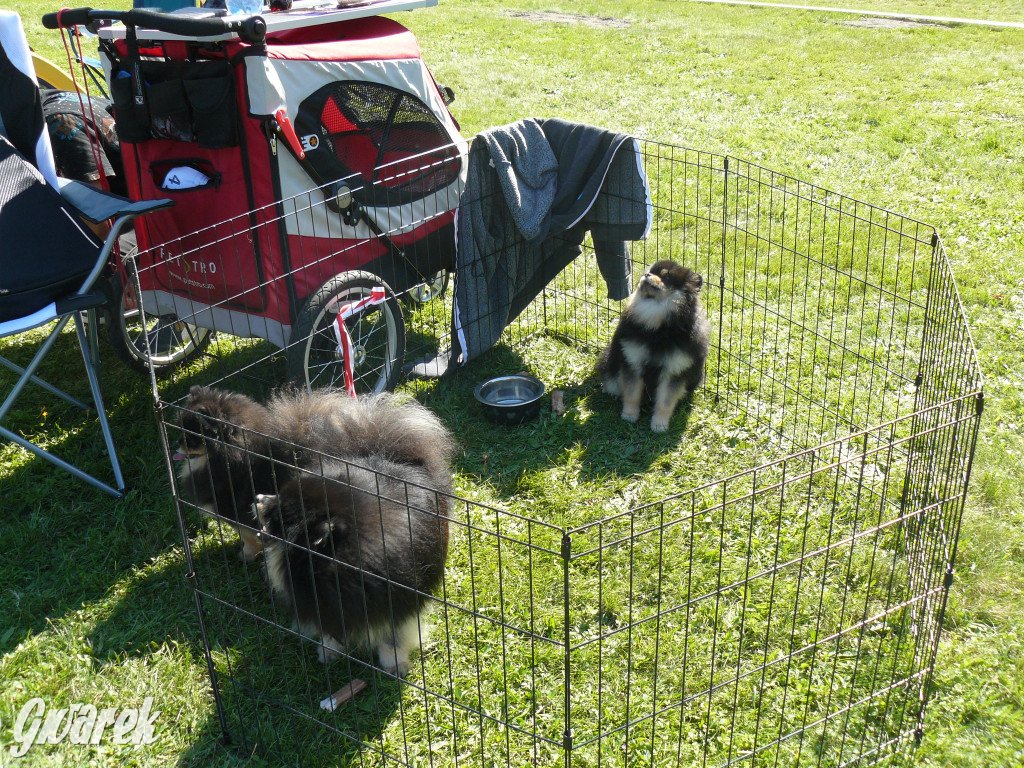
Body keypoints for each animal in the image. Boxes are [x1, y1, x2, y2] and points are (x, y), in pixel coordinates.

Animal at [598, 262, 708, 434]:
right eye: (649, 271)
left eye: (666, 276)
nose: (646, 275)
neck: (659, 329)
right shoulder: (633, 362)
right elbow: (632, 394)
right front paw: (629, 415)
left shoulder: (674, 371)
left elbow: (665, 402)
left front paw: (659, 425)